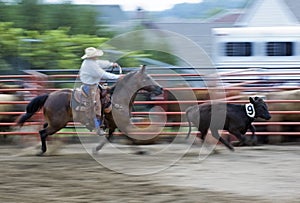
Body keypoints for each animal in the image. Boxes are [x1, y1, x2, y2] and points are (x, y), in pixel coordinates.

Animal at [17, 66, 162, 155]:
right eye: (147, 78)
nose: (160, 89)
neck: (118, 98)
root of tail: (49, 95)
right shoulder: (122, 124)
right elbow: (130, 136)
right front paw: (141, 151)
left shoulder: (113, 125)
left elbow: (109, 138)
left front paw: (96, 149)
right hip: (57, 124)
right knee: (42, 132)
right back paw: (42, 151)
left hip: (52, 122)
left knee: (43, 130)